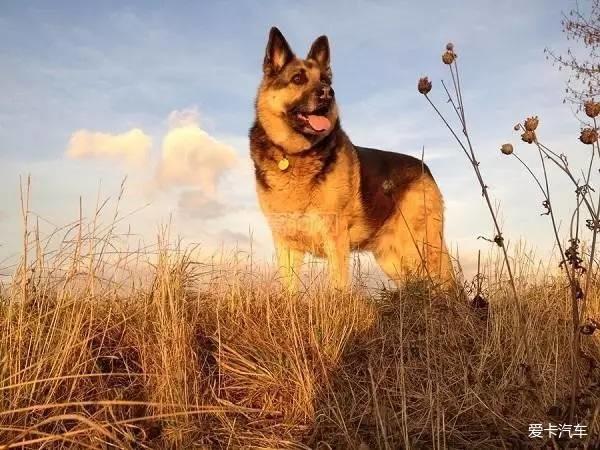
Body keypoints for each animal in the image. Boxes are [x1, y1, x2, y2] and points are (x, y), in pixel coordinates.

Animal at [248, 27, 450, 288]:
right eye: (298, 79)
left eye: (325, 81)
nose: (328, 93)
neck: (294, 154)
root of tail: (425, 168)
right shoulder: (286, 243)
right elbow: (289, 289)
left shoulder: (335, 238)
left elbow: (338, 286)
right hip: (395, 260)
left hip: (423, 249)